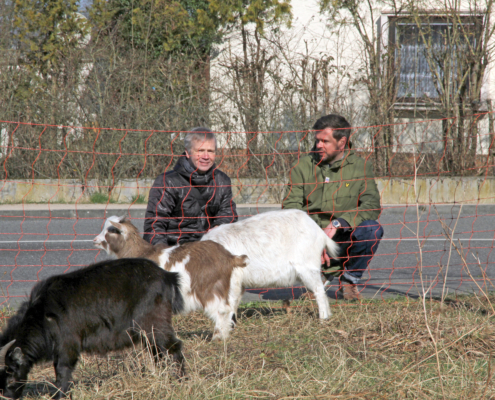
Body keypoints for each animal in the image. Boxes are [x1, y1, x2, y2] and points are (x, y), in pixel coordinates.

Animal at [0, 258, 184, 398]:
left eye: (10, 374)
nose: (7, 397)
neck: (42, 315)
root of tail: (167, 276)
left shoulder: (67, 344)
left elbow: (62, 370)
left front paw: (60, 395)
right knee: (158, 352)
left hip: (154, 322)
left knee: (173, 348)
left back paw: (180, 381)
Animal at [93, 216, 248, 340]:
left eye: (111, 230)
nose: (95, 240)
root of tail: (230, 258)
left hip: (210, 288)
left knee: (221, 310)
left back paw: (218, 337)